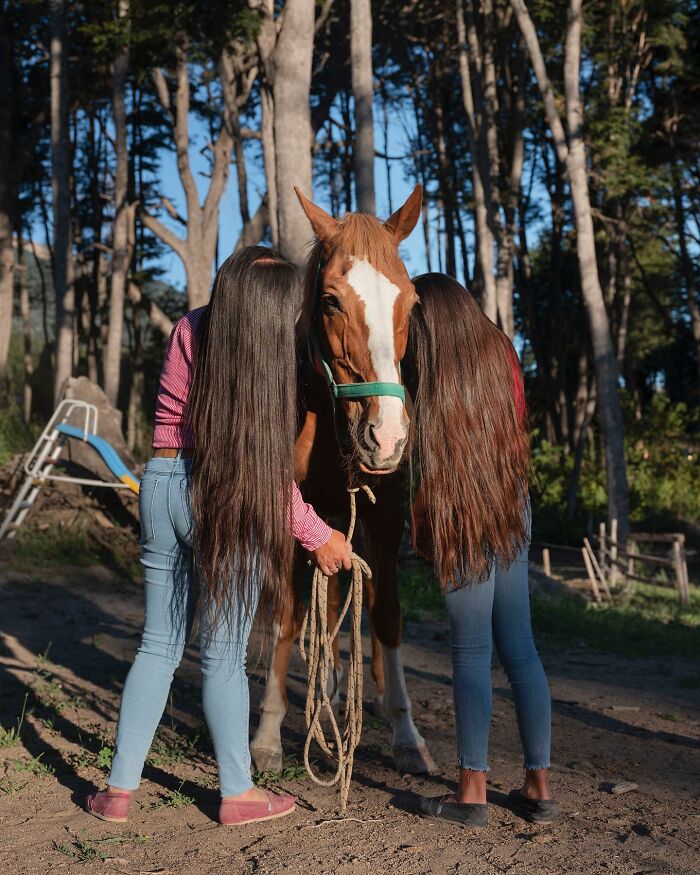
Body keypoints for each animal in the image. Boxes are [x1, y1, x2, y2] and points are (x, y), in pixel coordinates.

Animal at [250, 188, 438, 776]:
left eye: (410, 304)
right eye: (331, 301)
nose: (387, 436)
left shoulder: (384, 517)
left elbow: (387, 616)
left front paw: (407, 735)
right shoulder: (298, 518)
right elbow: (291, 617)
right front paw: (267, 733)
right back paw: (328, 693)